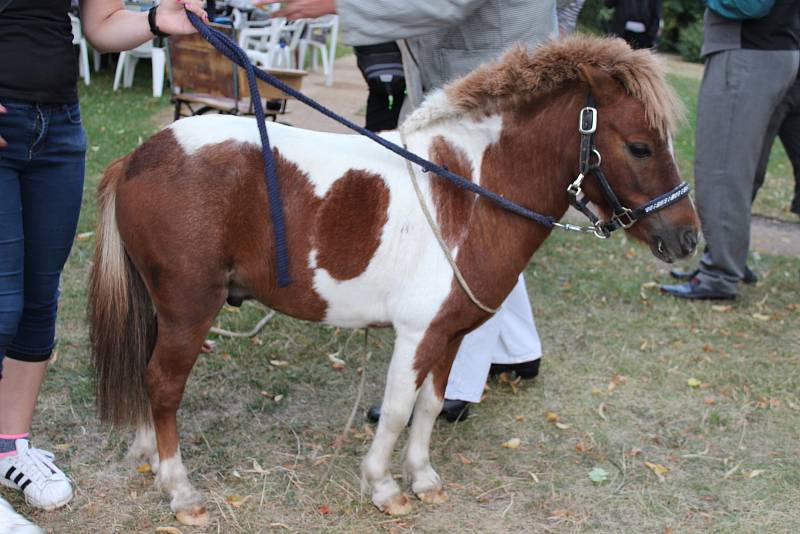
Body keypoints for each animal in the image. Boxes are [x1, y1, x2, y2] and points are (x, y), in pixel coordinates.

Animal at [90, 36, 696, 528]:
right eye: (640, 145)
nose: (688, 238)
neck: (468, 193)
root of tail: (139, 157)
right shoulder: (416, 335)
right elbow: (400, 408)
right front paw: (384, 486)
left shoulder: (450, 335)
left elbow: (429, 407)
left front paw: (422, 478)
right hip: (190, 308)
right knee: (164, 385)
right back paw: (179, 489)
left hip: (164, 308)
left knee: (147, 375)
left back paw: (148, 455)